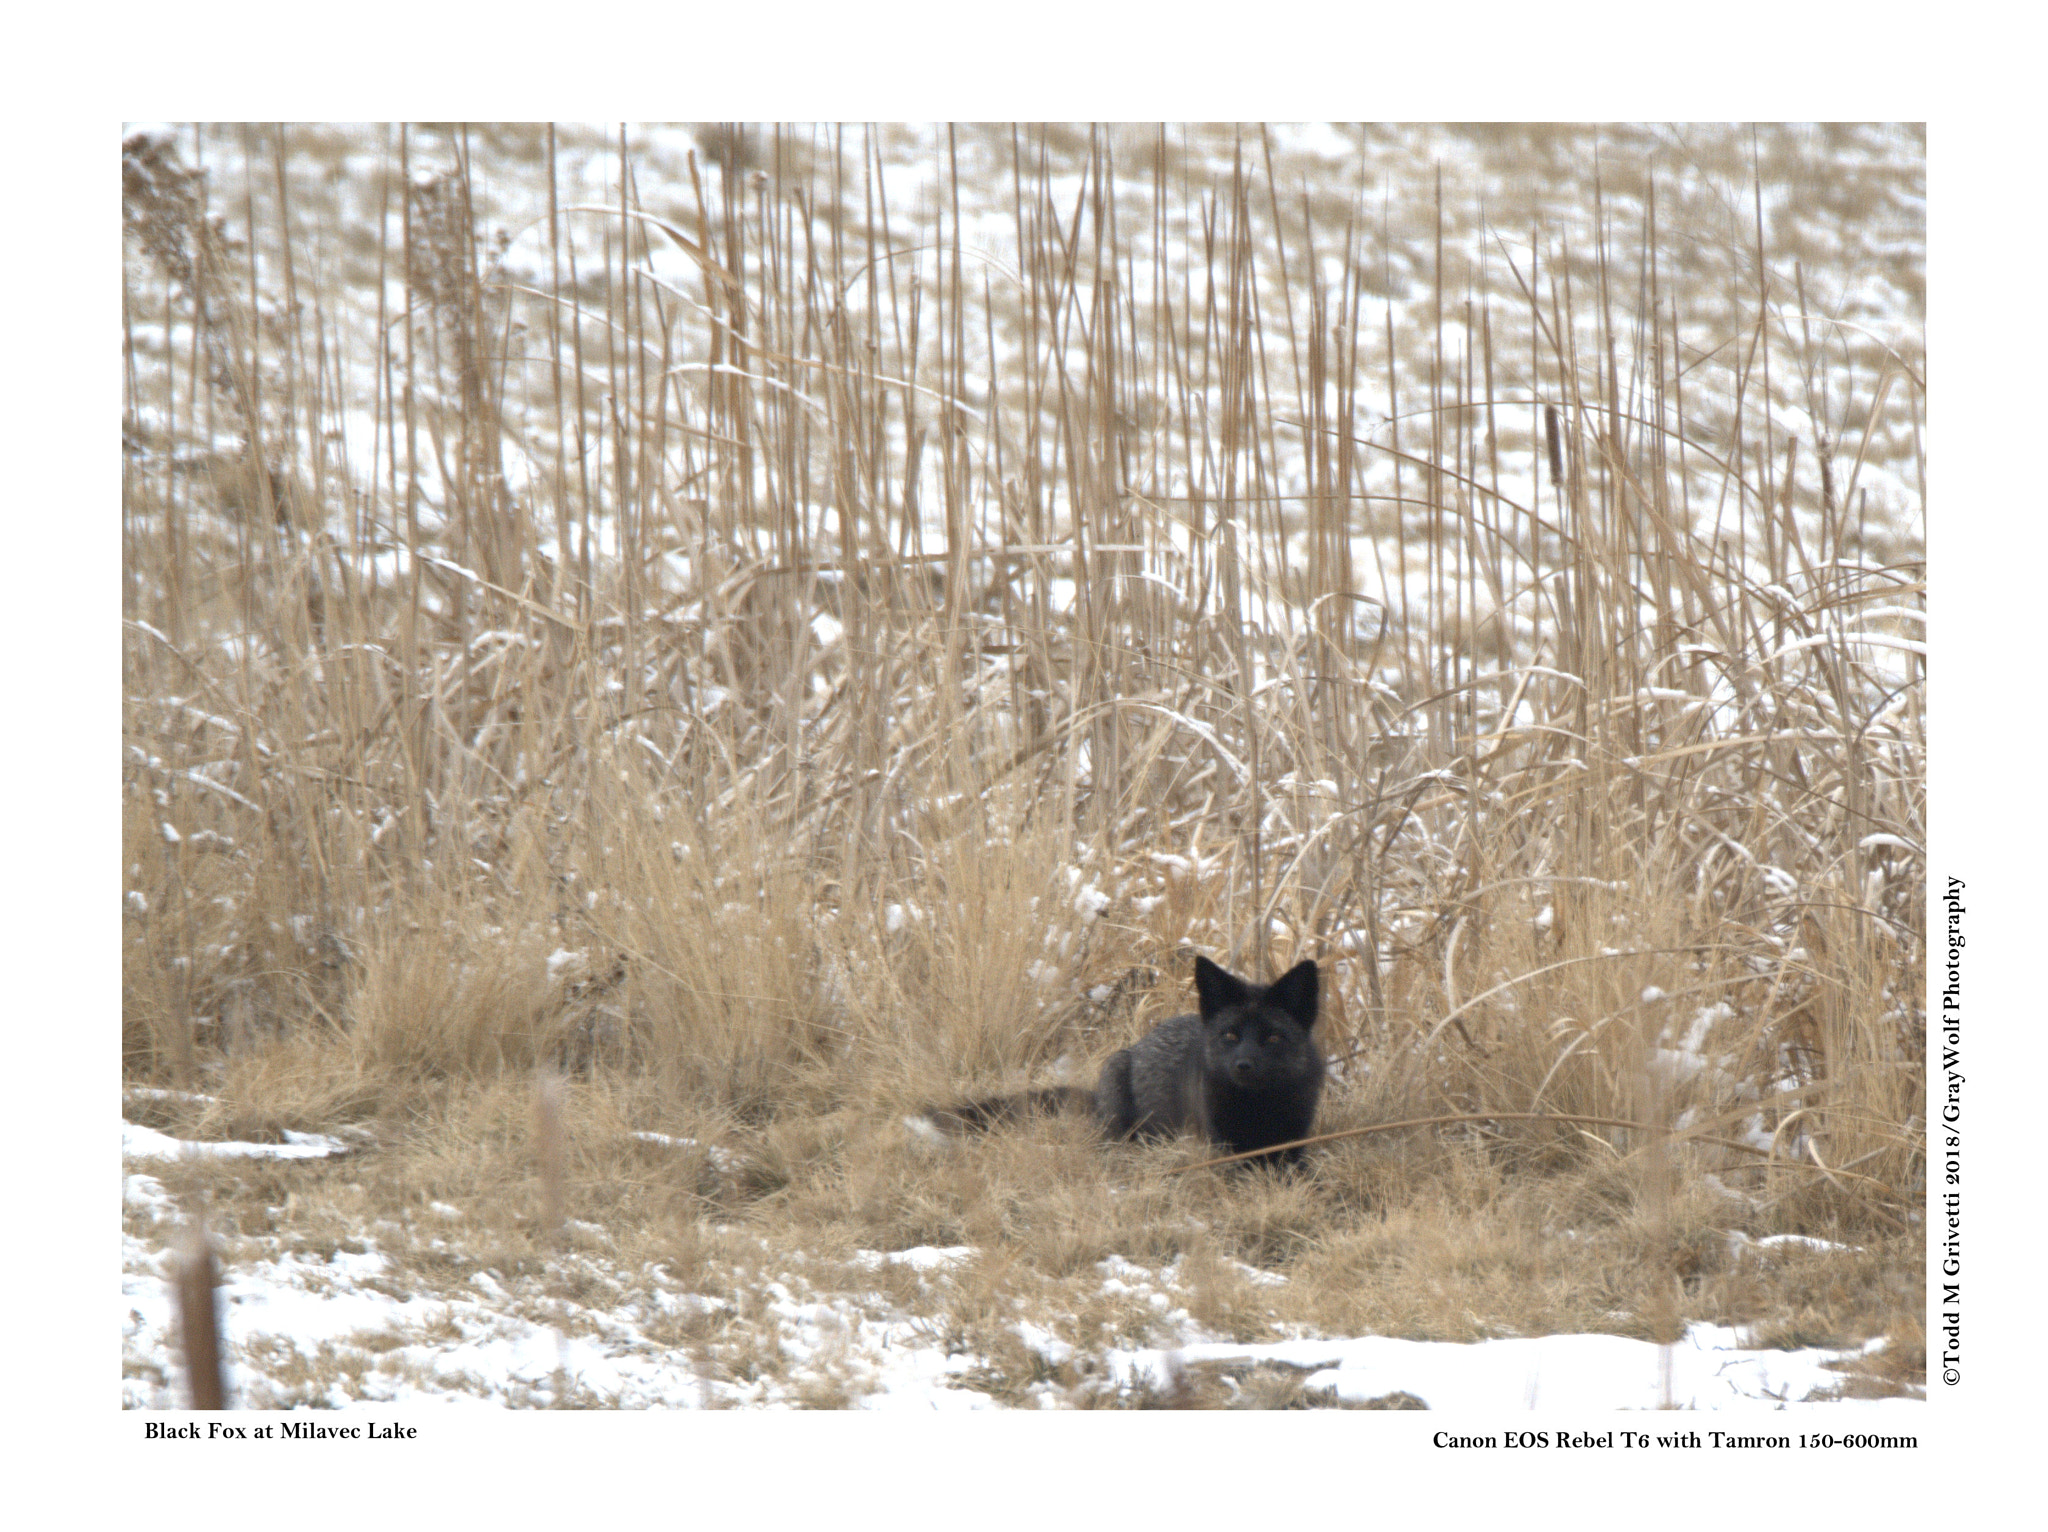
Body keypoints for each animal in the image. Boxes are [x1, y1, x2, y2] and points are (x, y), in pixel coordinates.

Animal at [924, 955, 1324, 1167]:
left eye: (1272, 1038)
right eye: (1230, 1036)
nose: (1243, 1065)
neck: (1260, 1109)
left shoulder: (1296, 1141)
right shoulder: (1218, 1146)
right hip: (1116, 1079)